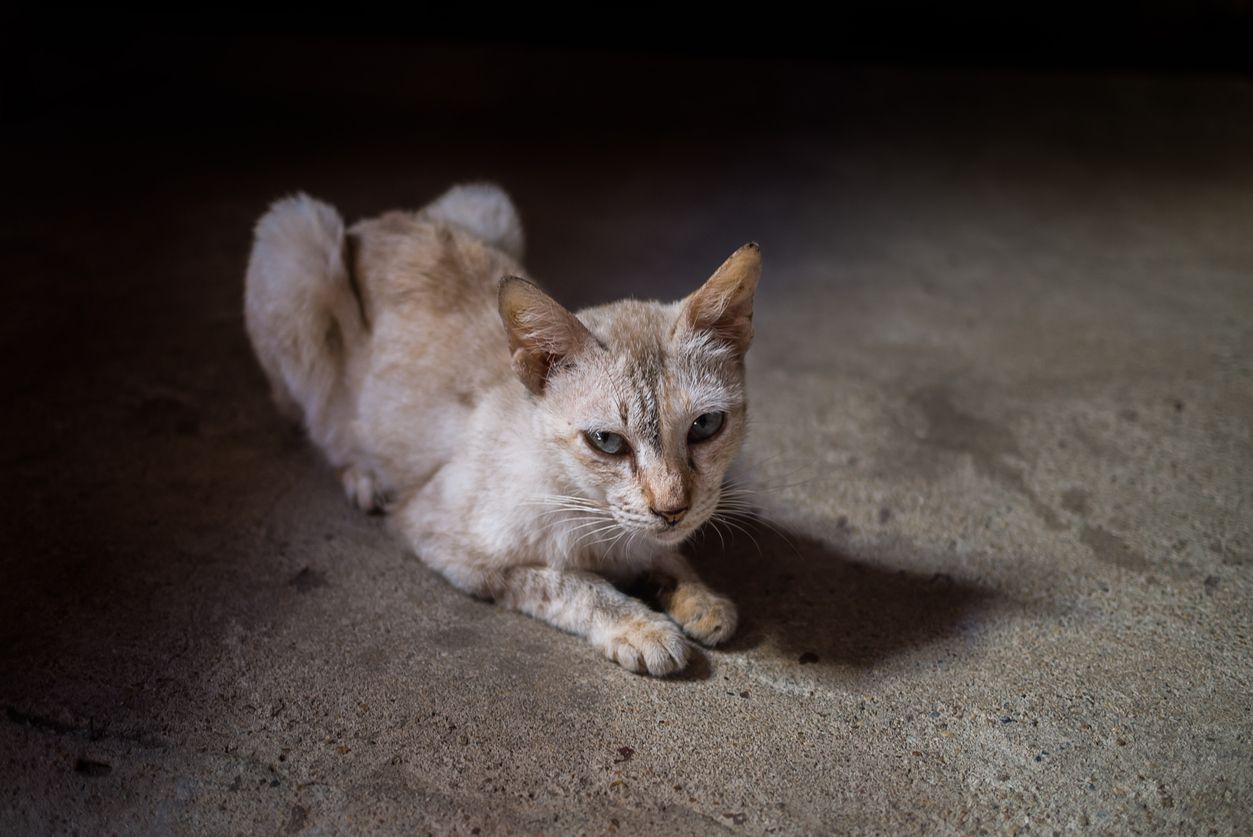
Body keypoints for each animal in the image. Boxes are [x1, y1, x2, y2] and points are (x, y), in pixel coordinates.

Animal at [240, 181, 756, 671]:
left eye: (705, 426)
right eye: (607, 442)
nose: (672, 510)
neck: (590, 511)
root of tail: (373, 222)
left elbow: (668, 557)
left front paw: (703, 601)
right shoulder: (445, 542)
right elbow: (576, 587)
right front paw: (643, 628)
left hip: (490, 203)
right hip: (296, 234)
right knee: (312, 422)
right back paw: (363, 476)